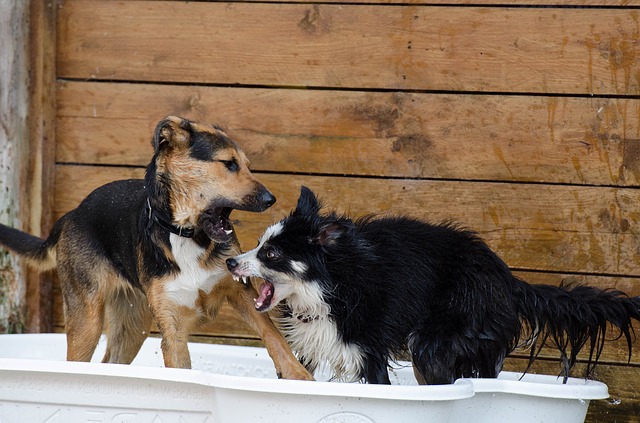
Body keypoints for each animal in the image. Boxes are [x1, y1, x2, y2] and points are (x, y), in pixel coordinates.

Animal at [0, 117, 312, 380]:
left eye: (247, 165)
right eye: (229, 164)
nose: (270, 199)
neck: (186, 232)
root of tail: (71, 214)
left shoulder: (241, 292)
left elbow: (274, 335)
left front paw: (298, 375)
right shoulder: (173, 328)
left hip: (131, 325)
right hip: (86, 320)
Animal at [228, 187, 636, 386]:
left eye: (271, 253)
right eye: (259, 244)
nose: (231, 262)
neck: (330, 285)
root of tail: (504, 275)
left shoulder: (368, 351)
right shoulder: (310, 348)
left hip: (435, 338)